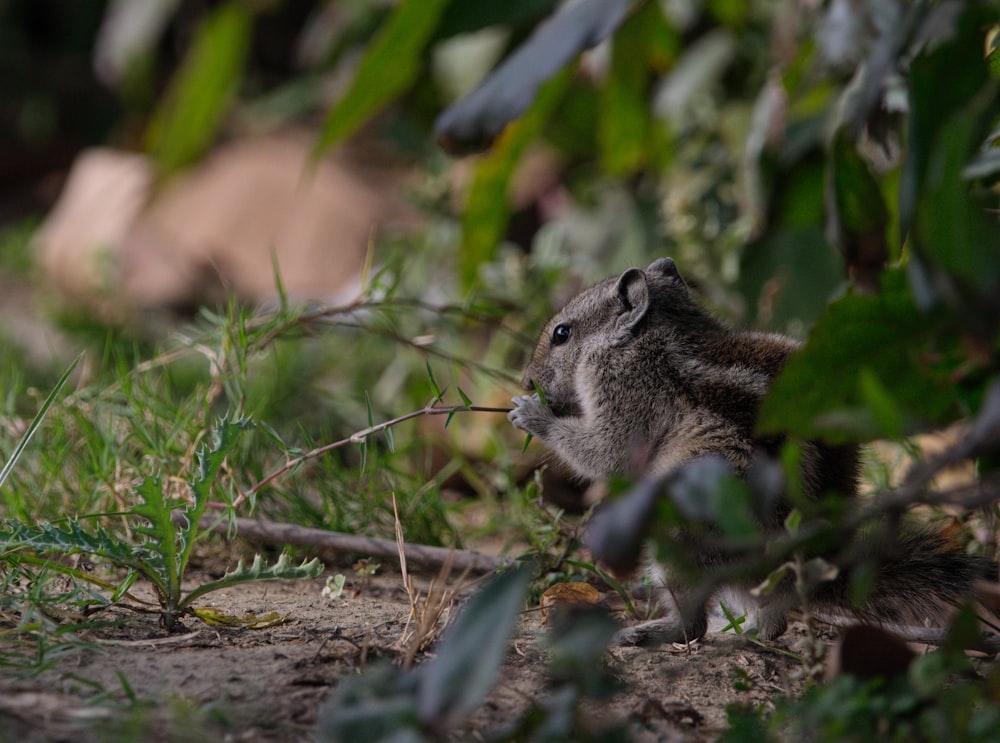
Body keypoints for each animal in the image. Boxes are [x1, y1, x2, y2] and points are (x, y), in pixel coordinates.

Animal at [512, 258, 988, 644]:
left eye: (562, 334)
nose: (525, 380)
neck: (656, 332)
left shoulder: (620, 386)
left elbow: (607, 451)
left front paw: (533, 414)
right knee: (771, 618)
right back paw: (750, 633)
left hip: (685, 518)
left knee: (694, 625)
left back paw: (654, 632)